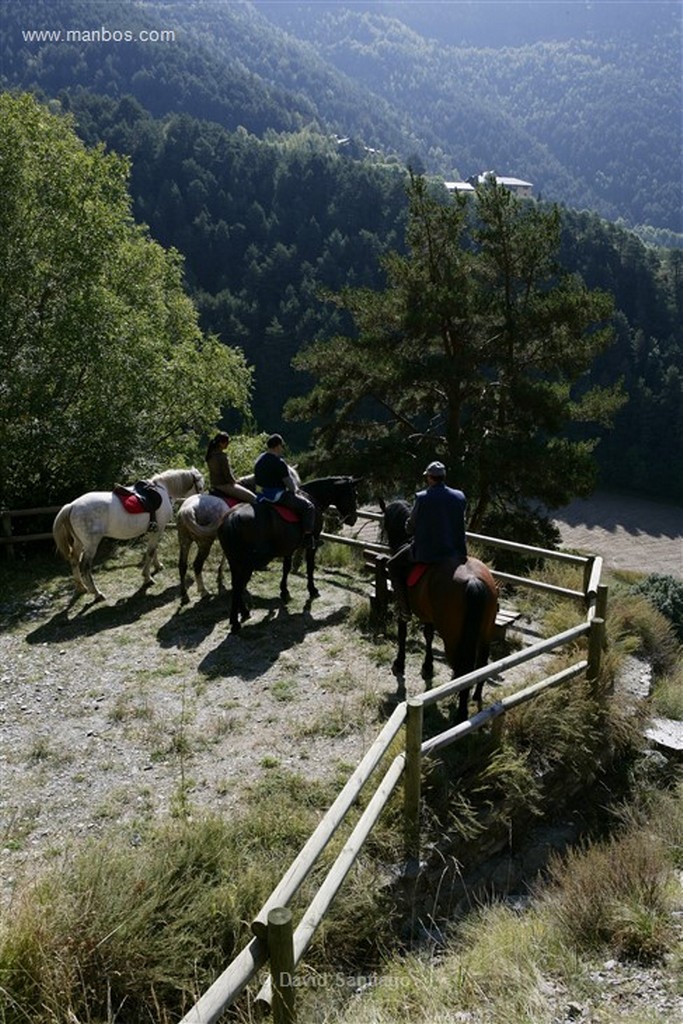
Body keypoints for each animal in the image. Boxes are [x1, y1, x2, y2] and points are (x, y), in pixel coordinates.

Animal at [52, 466, 202, 598]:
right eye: (199, 487)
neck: (164, 490)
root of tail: (72, 506)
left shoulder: (153, 530)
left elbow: (153, 550)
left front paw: (157, 566)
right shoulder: (159, 529)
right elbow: (150, 551)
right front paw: (147, 577)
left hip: (79, 542)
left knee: (74, 560)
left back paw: (81, 588)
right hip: (90, 545)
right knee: (85, 567)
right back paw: (97, 593)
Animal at [219, 477, 360, 630]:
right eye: (354, 495)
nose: (353, 519)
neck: (312, 497)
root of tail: (233, 516)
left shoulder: (288, 548)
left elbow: (286, 568)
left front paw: (284, 592)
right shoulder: (312, 544)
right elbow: (310, 567)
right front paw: (312, 590)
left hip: (234, 561)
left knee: (236, 584)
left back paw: (244, 612)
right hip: (247, 564)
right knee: (238, 586)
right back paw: (235, 622)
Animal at [378, 495, 497, 720]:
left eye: (384, 522)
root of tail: (474, 580)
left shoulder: (403, 607)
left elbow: (402, 631)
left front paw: (399, 664)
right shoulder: (429, 615)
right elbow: (428, 636)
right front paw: (427, 667)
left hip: (452, 636)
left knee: (463, 667)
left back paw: (460, 713)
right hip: (486, 630)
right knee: (481, 663)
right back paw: (475, 696)